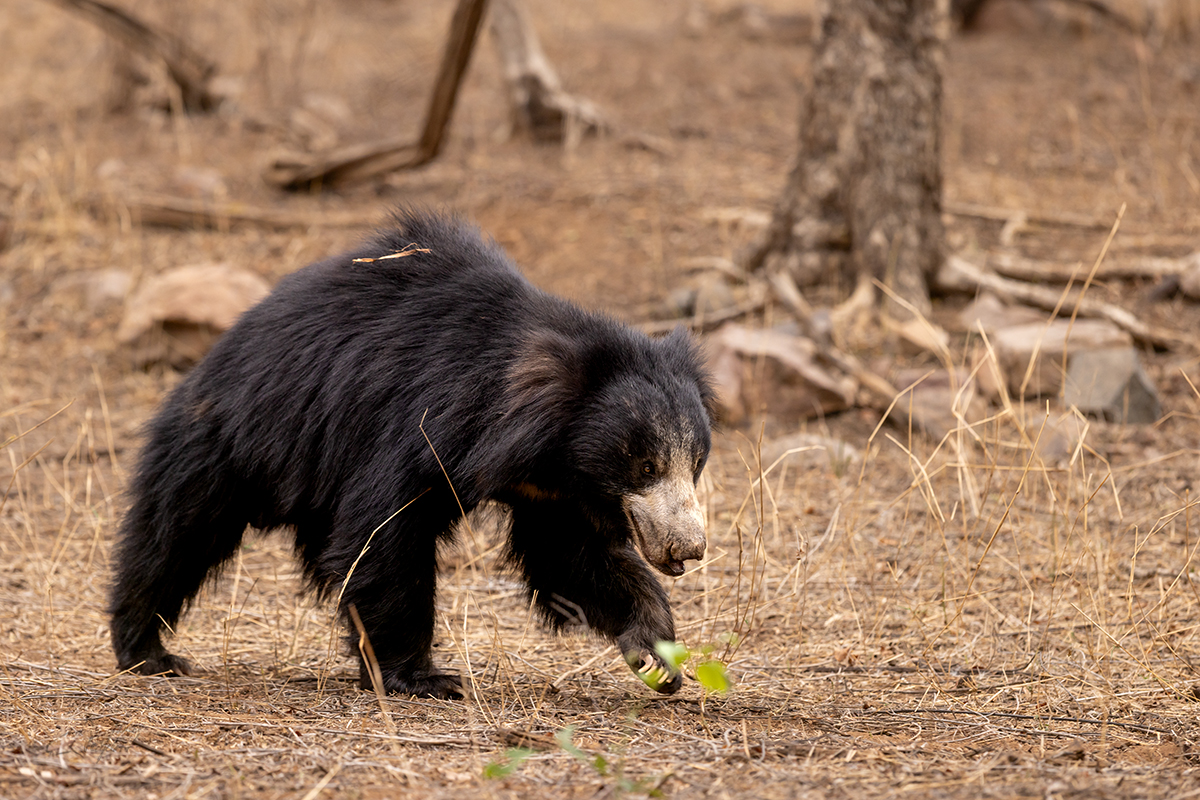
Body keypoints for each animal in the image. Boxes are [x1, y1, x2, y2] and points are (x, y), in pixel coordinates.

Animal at [110, 209, 710, 695]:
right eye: (646, 465)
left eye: (696, 465)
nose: (689, 548)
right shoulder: (421, 425)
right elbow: (383, 534)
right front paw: (424, 678)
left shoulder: (553, 488)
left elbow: (571, 558)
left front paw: (655, 654)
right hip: (233, 436)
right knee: (175, 532)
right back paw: (147, 652)